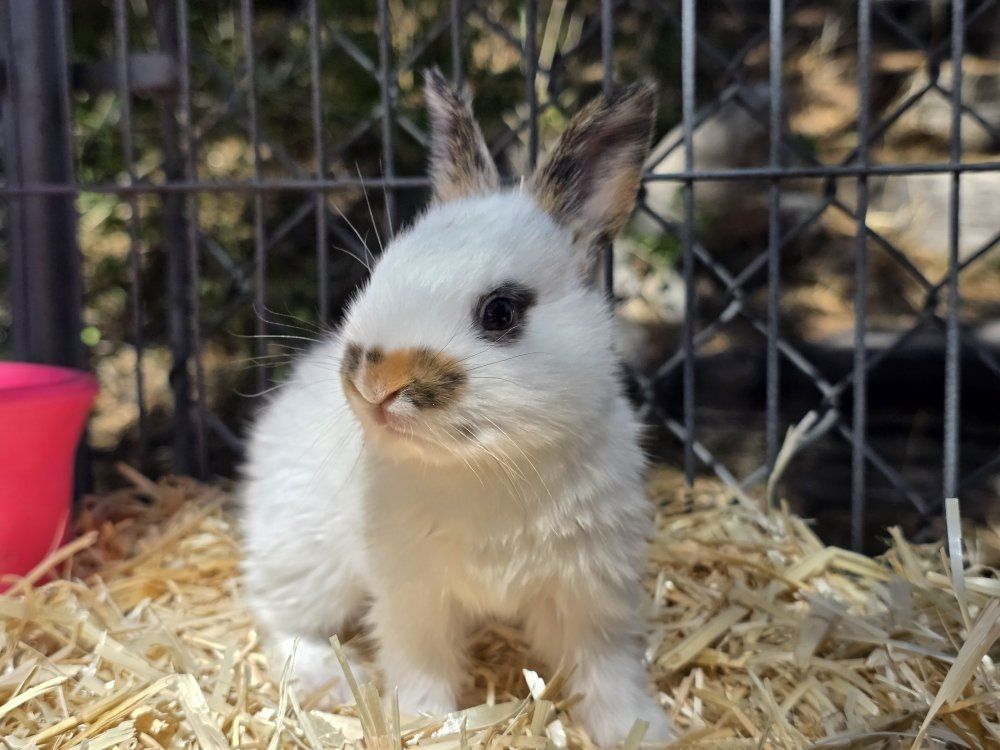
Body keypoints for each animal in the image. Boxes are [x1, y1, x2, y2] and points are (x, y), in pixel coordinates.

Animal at [240, 70, 675, 747]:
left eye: (500, 311)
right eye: (380, 274)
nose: (374, 382)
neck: (487, 468)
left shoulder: (589, 592)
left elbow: (606, 670)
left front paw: (641, 730)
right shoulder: (413, 597)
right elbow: (420, 666)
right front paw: (427, 724)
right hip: (304, 558)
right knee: (283, 621)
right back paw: (330, 682)